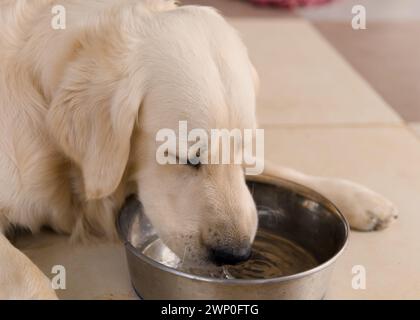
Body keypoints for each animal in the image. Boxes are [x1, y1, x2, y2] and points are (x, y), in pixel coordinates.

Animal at [0, 0, 398, 300]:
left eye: (245, 151)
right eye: (187, 156)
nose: (236, 255)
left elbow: (281, 169)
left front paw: (356, 198)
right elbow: (31, 278)